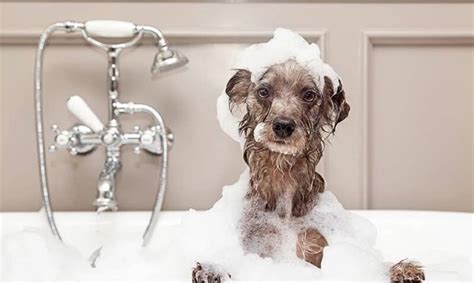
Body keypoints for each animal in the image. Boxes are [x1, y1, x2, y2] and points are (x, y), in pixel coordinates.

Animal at [193, 58, 426, 282]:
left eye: (309, 95)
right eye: (264, 91)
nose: (283, 125)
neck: (282, 176)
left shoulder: (316, 242)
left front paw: (400, 270)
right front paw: (213, 269)